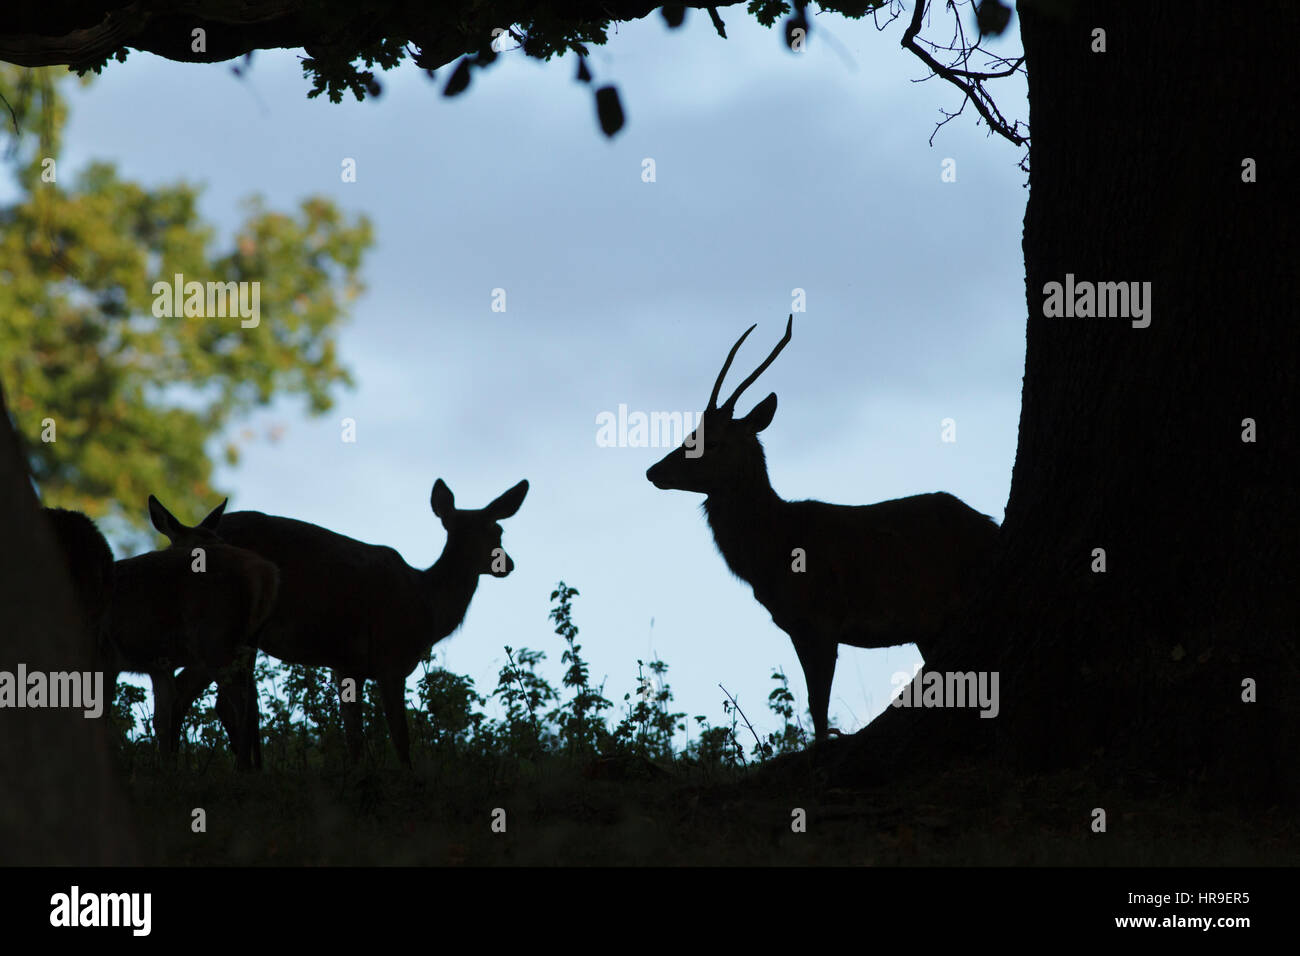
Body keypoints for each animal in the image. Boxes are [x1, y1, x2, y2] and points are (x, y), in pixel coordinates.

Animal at [107, 496, 279, 764]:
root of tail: (266, 573)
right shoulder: (159, 665)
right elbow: (162, 721)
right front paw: (166, 767)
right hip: (248, 644)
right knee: (251, 700)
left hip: (216, 642)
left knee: (243, 704)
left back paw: (243, 768)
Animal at [215, 478, 530, 770]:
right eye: (497, 532)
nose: (509, 564)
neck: (426, 605)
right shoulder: (390, 656)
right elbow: (400, 737)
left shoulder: (348, 666)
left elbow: (354, 737)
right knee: (241, 705)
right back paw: (247, 769)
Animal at [644, 317, 998, 743]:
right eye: (689, 433)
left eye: (709, 441)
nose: (653, 471)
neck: (774, 551)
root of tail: (993, 527)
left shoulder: (820, 620)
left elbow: (818, 707)